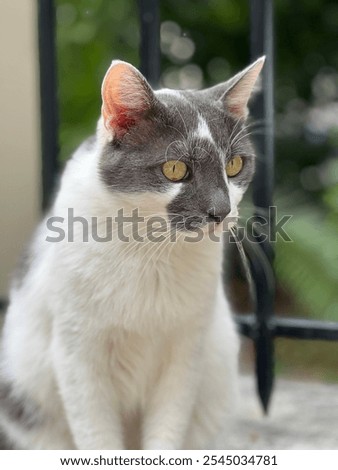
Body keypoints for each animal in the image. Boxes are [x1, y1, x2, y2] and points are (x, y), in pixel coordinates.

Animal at [0, 55, 264, 448]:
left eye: (234, 165)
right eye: (175, 169)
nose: (221, 210)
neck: (151, 249)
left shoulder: (186, 352)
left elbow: (168, 427)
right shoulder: (76, 353)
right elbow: (96, 436)